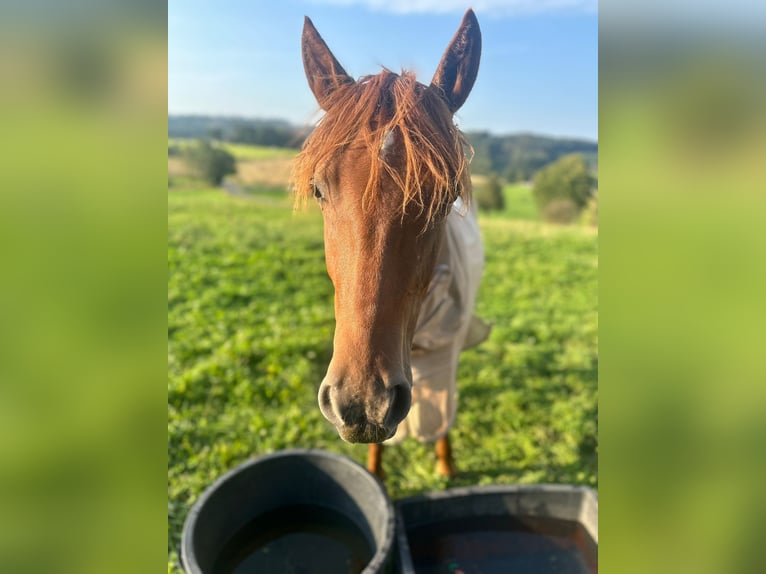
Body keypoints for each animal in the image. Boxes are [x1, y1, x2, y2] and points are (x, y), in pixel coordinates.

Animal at [294, 9, 486, 480]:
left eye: (447, 196)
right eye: (318, 190)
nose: (362, 403)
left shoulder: (443, 357)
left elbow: (440, 416)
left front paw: (446, 468)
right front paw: (376, 474)